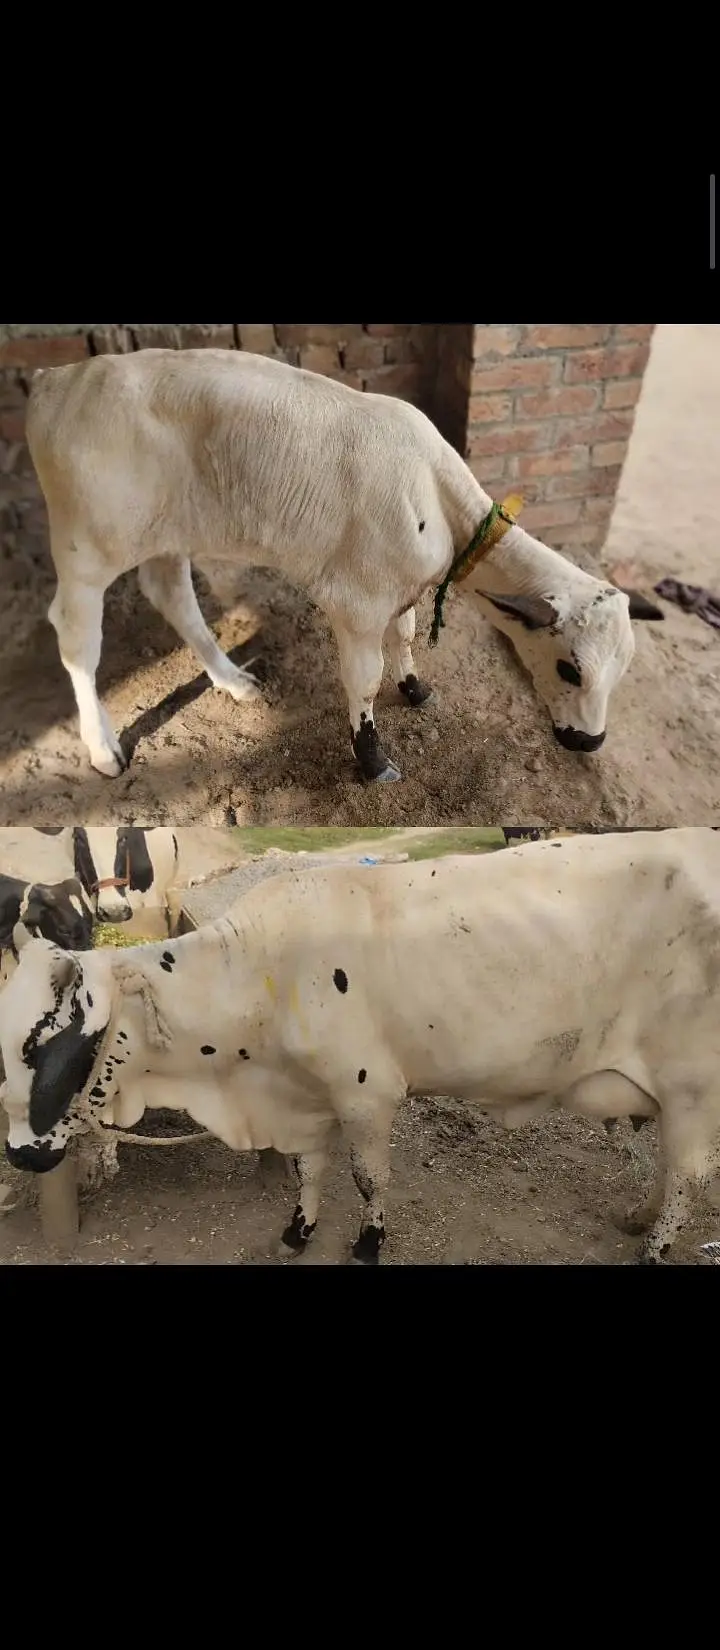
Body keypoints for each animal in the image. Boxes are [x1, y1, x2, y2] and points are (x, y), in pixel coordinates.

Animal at [1, 828, 718, 1265]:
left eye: (43, 1045)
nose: (18, 1154)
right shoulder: (308, 1095)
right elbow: (310, 1168)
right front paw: (298, 1231)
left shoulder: (367, 1093)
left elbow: (369, 1176)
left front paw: (369, 1243)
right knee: (668, 1166)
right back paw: (639, 1217)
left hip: (693, 1085)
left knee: (688, 1172)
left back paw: (654, 1247)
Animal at [25, 349, 658, 786]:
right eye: (570, 669)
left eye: (624, 669)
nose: (589, 744)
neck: (439, 498)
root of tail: (54, 380)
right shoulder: (357, 602)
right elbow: (364, 680)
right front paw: (373, 761)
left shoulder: (400, 589)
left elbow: (406, 637)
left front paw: (416, 688)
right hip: (86, 543)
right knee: (76, 636)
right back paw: (103, 749)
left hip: (167, 528)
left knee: (170, 592)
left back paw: (232, 680)